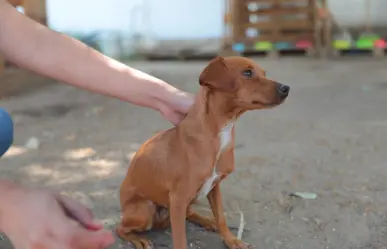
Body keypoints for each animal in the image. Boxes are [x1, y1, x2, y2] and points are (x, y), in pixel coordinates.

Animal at [116, 56, 290, 249]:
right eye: (247, 73)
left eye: (264, 73)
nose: (286, 88)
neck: (221, 132)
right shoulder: (178, 199)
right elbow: (180, 240)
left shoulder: (214, 186)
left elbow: (221, 217)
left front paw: (230, 240)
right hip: (145, 209)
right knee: (120, 228)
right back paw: (138, 239)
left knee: (190, 213)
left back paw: (207, 221)